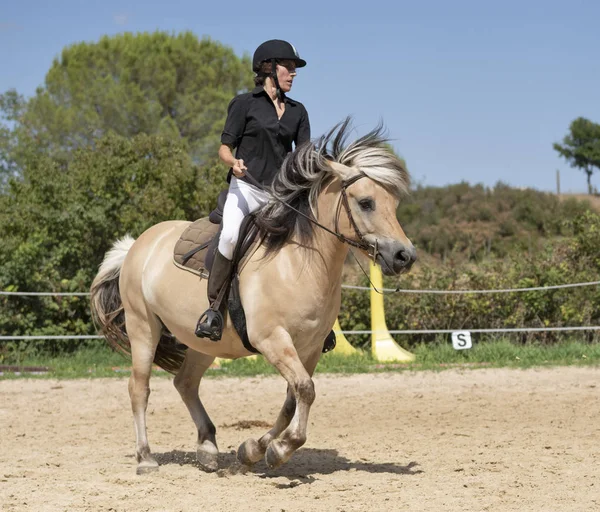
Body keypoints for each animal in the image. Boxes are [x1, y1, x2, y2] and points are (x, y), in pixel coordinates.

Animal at [91, 119, 414, 472]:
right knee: (139, 387)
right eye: (366, 202)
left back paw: (207, 448)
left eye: (394, 205)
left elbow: (293, 399)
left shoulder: (311, 348)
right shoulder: (272, 338)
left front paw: (255, 449)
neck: (297, 263)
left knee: (185, 382)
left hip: (202, 341)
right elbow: (305, 390)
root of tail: (136, 245)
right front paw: (279, 448)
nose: (405, 256)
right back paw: (146, 457)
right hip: (143, 328)